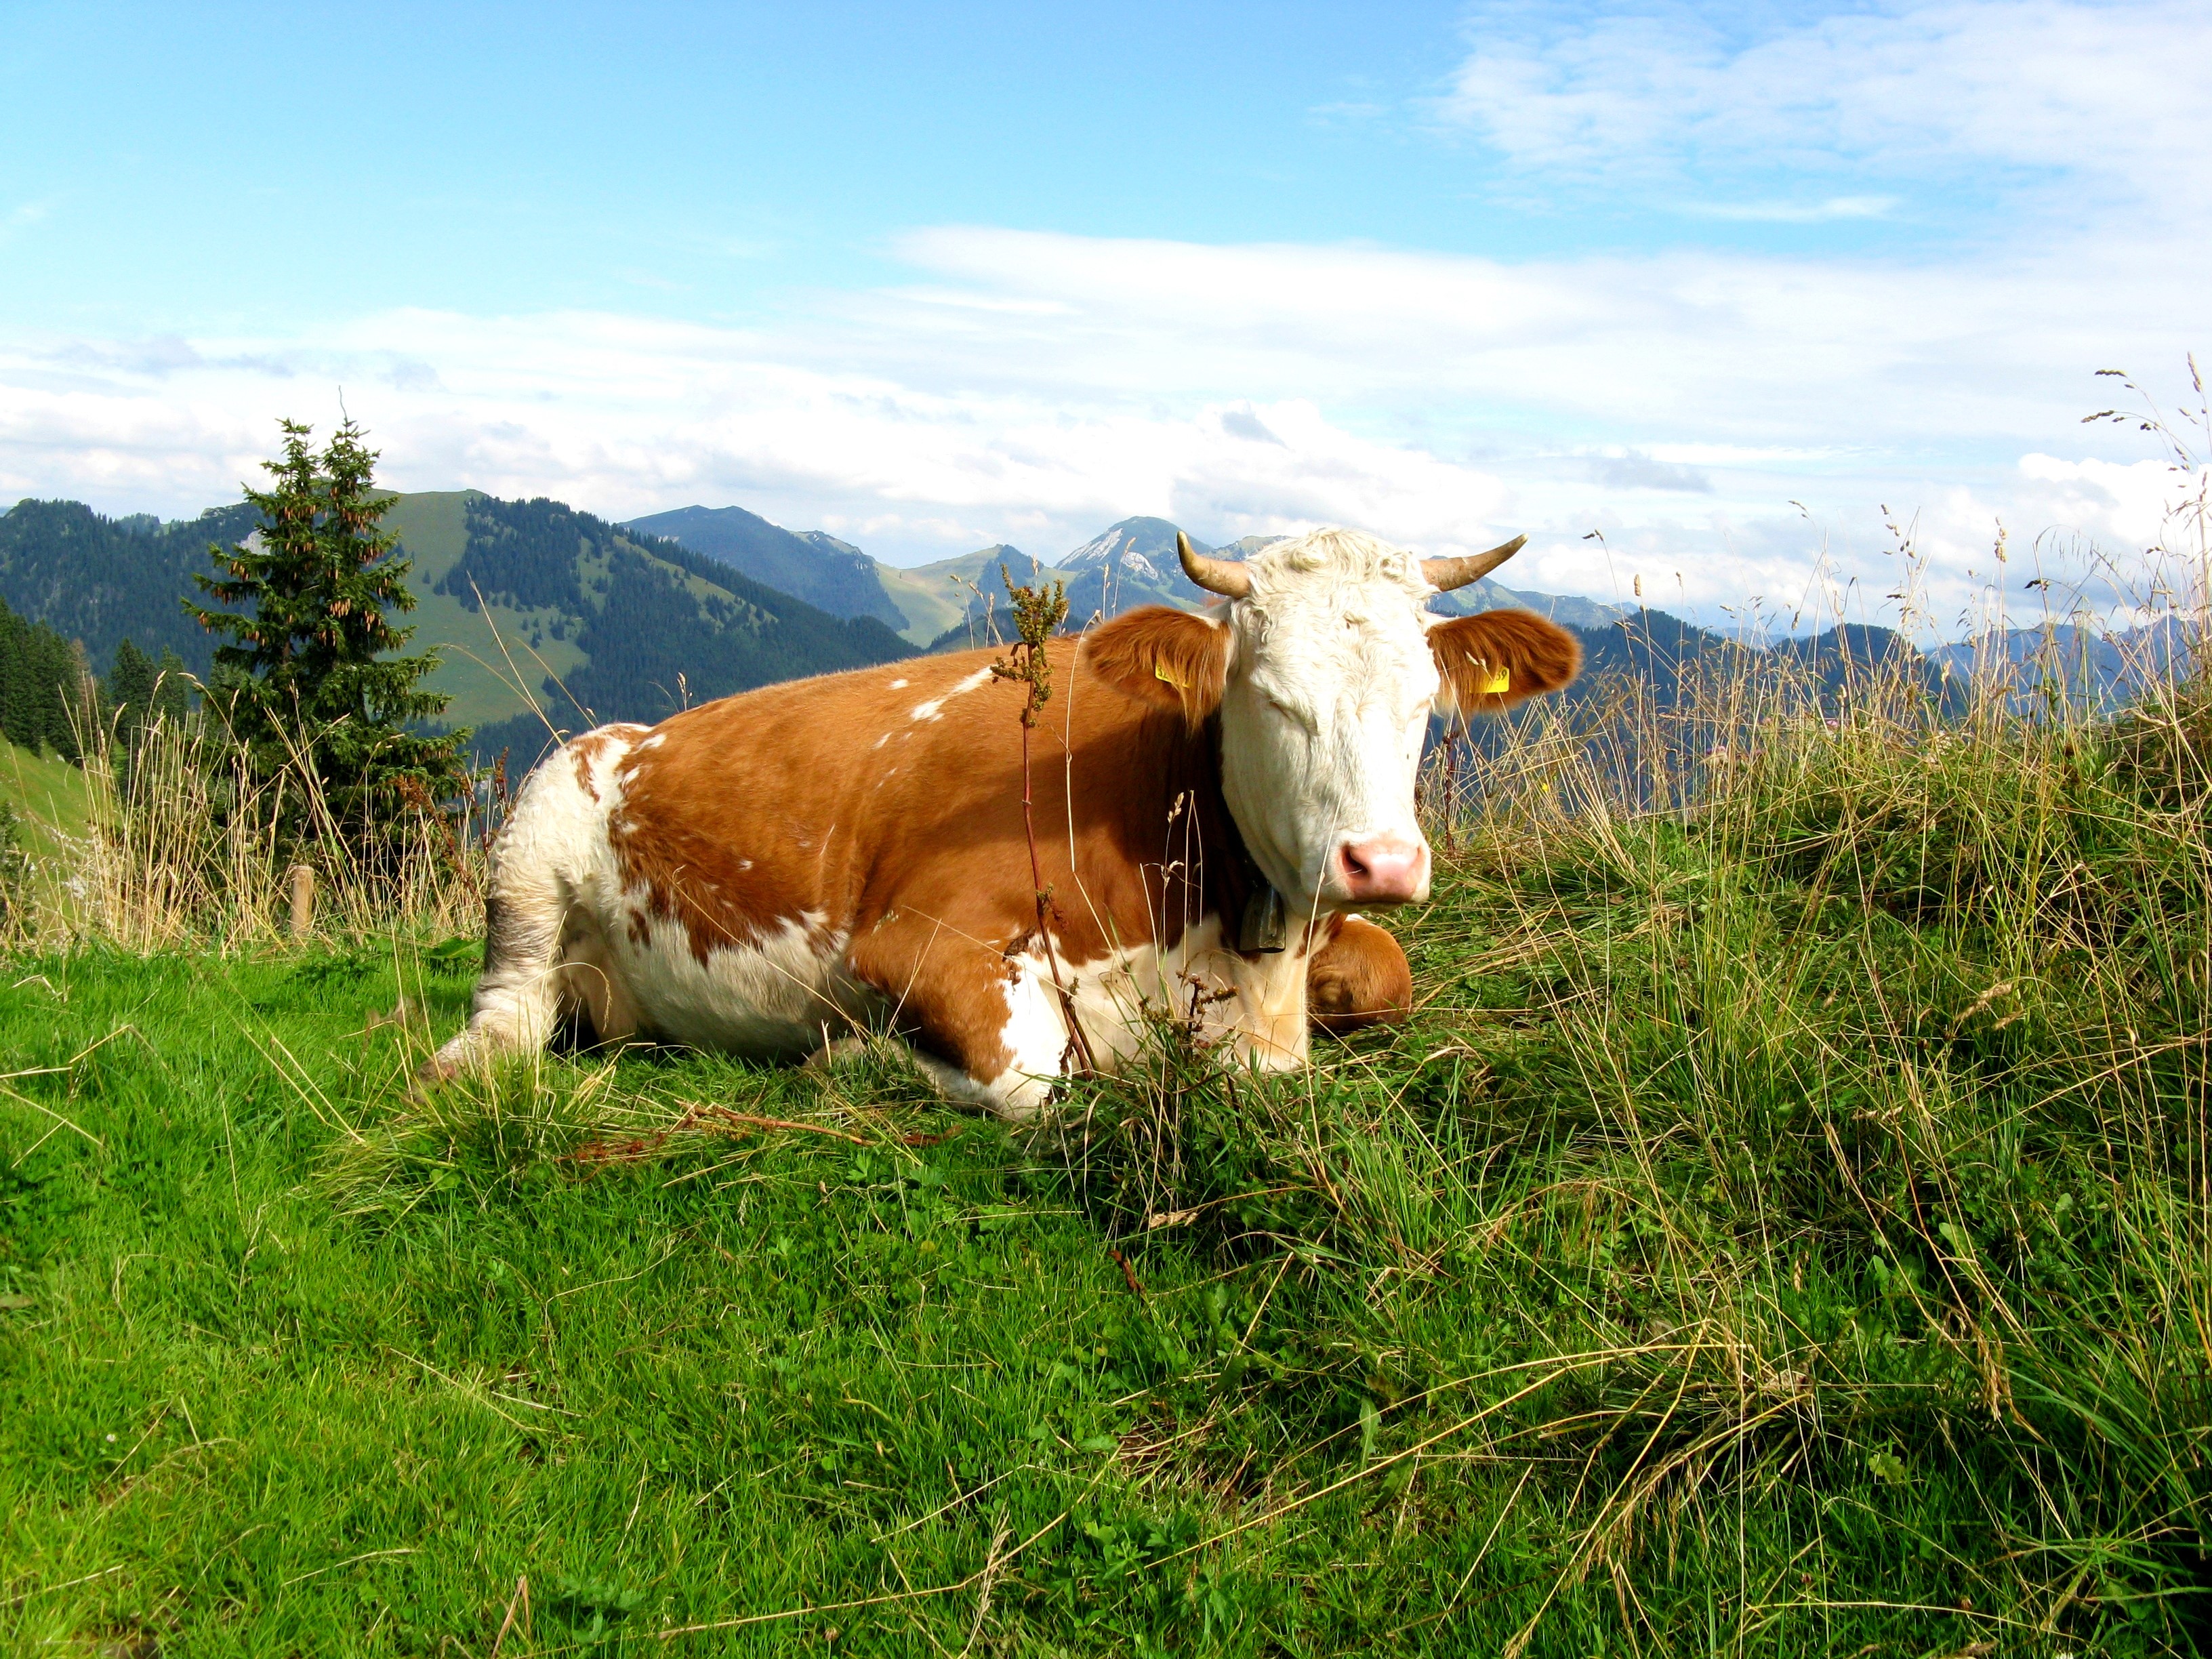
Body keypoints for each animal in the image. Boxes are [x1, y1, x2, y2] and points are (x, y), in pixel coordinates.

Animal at [427, 527, 1579, 1116]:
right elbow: (1038, 1082)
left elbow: (1389, 974)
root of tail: (631, 730)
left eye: (1425, 699)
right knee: (506, 1017)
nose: (1380, 863)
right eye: (1269, 694)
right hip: (533, 839)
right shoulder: (918, 941)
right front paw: (863, 1058)